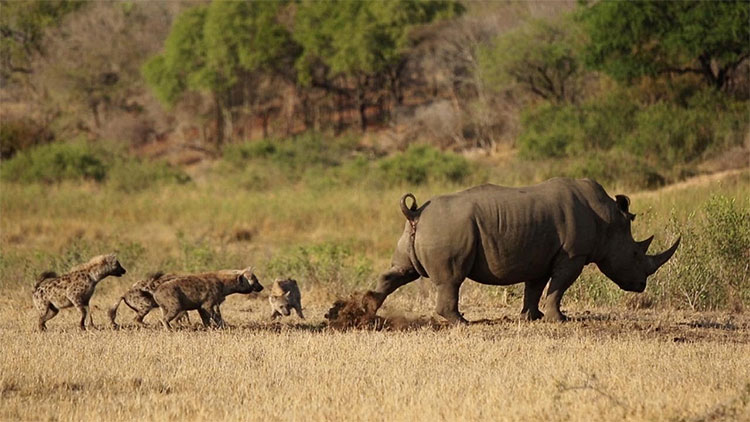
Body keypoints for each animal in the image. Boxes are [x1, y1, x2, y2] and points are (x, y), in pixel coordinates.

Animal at [363, 178, 680, 324]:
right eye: (636, 255)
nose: (641, 285)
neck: (609, 219)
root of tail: (415, 213)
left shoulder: (541, 254)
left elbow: (535, 287)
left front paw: (532, 317)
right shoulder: (573, 254)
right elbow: (558, 287)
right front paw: (559, 320)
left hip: (421, 231)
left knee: (401, 271)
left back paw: (364, 310)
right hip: (447, 228)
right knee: (451, 279)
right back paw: (462, 323)